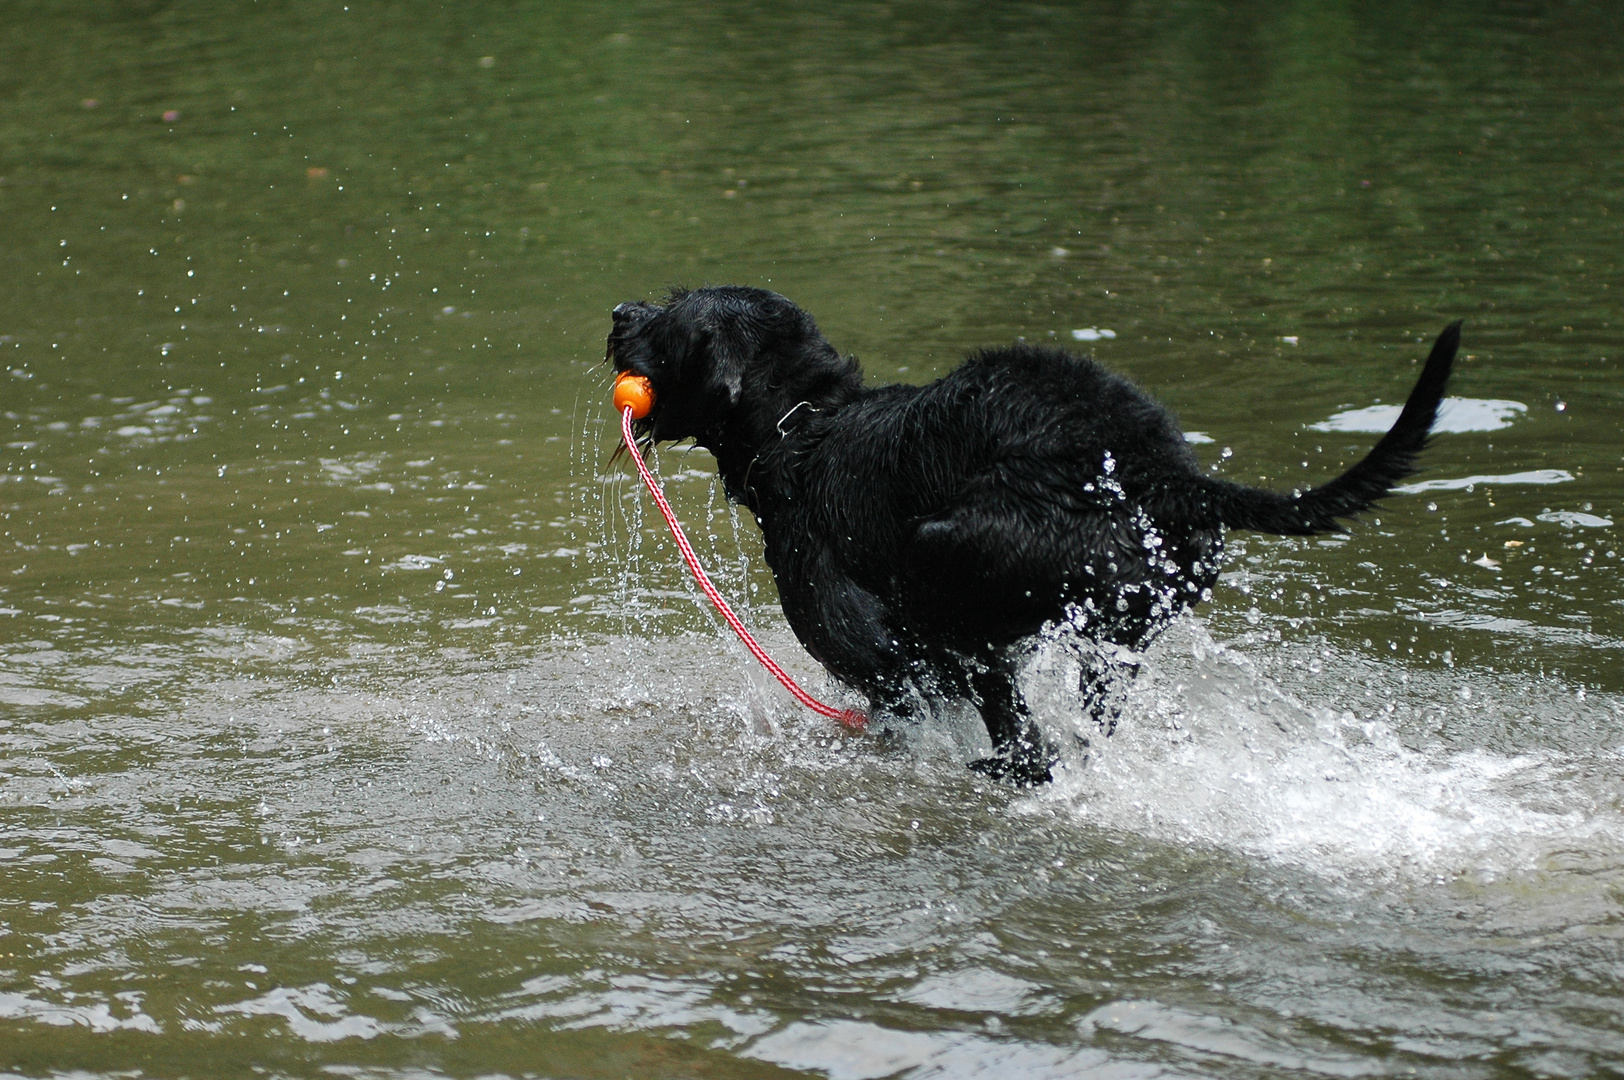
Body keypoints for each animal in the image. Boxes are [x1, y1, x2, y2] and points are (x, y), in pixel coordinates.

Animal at [607, 284, 1461, 782]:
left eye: (669, 320)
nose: (618, 311)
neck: (806, 424)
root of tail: (1154, 466)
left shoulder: (879, 656)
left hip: (947, 559)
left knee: (1026, 739)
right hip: (1122, 629)